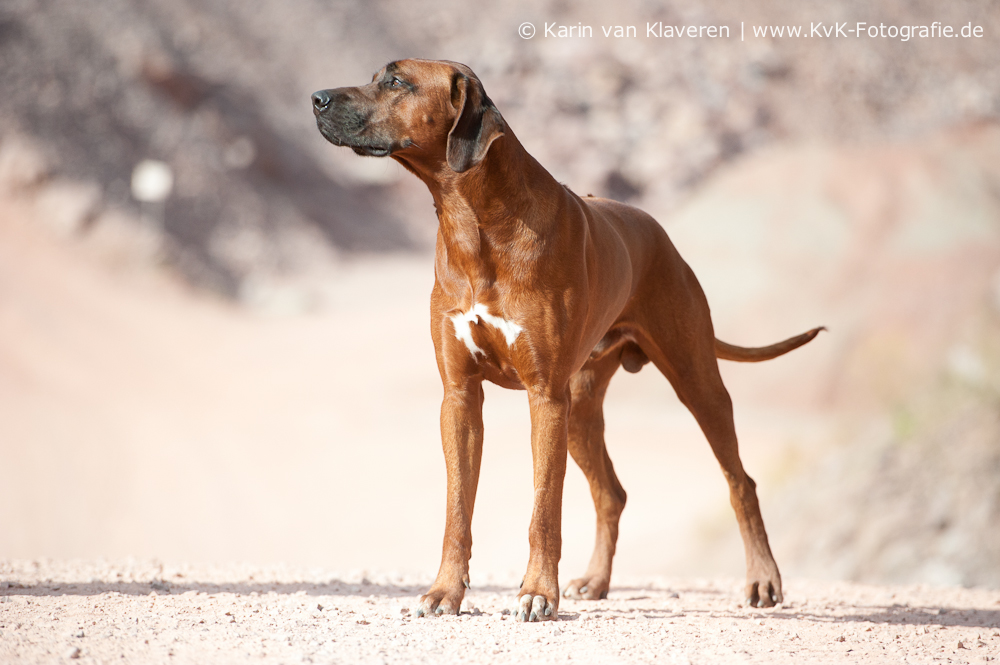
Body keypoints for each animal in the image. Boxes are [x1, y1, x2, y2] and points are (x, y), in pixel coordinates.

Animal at [312, 58, 820, 624]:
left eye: (397, 82)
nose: (317, 98)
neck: (474, 223)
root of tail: (660, 233)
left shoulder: (545, 397)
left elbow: (544, 510)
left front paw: (537, 592)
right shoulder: (460, 398)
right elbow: (457, 508)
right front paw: (445, 591)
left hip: (693, 380)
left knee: (740, 481)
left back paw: (763, 580)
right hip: (580, 410)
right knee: (611, 494)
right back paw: (597, 580)